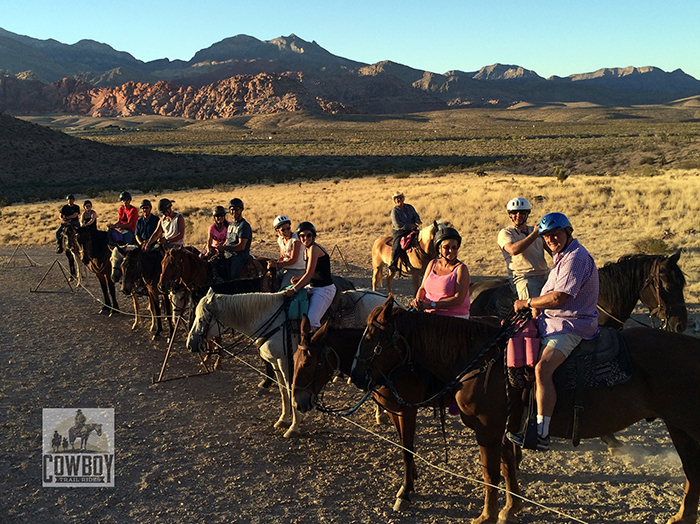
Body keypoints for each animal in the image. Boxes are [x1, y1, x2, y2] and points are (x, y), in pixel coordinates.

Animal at [352, 298, 700, 524]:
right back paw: (682, 517)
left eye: (371, 336)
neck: (481, 359)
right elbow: (508, 468)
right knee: (692, 472)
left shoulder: (488, 429)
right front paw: (510, 510)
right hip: (679, 428)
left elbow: (490, 472)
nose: (356, 375)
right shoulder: (507, 426)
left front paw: (487, 516)